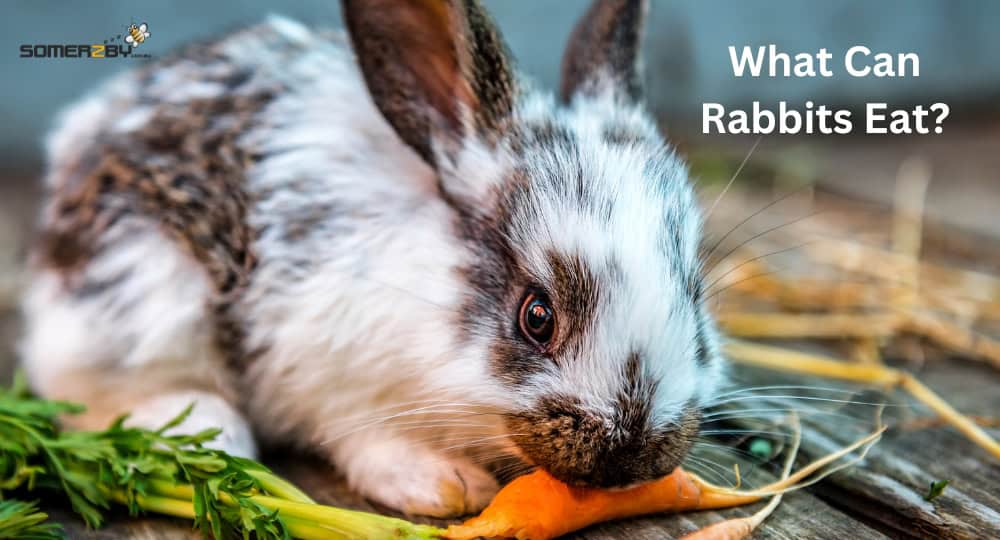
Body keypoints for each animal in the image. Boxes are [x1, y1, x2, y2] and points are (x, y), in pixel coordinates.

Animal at [20, 0, 726, 518]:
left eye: (695, 303)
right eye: (536, 317)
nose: (630, 456)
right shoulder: (326, 373)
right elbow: (369, 440)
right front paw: (446, 485)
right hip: (145, 294)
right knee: (84, 391)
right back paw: (205, 431)